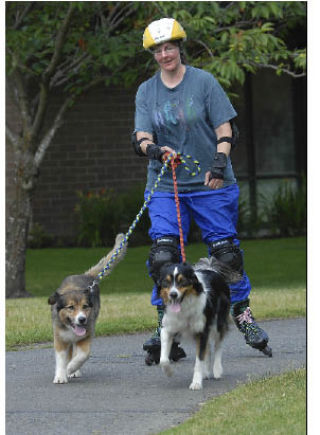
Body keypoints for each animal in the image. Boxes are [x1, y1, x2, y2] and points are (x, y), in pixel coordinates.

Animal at [48, 233, 127, 384]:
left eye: (85, 307)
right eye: (71, 307)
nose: (82, 319)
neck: (70, 328)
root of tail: (87, 276)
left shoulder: (87, 335)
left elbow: (82, 355)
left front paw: (71, 368)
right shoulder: (60, 338)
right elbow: (61, 359)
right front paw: (61, 376)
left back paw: (73, 370)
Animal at [158, 258, 238, 392]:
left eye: (182, 281)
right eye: (166, 282)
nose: (173, 294)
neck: (184, 306)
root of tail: (211, 269)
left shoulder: (201, 331)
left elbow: (199, 360)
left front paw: (196, 383)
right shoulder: (168, 329)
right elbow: (163, 359)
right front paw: (169, 372)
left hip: (218, 322)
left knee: (217, 345)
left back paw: (217, 370)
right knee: (208, 348)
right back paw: (206, 372)